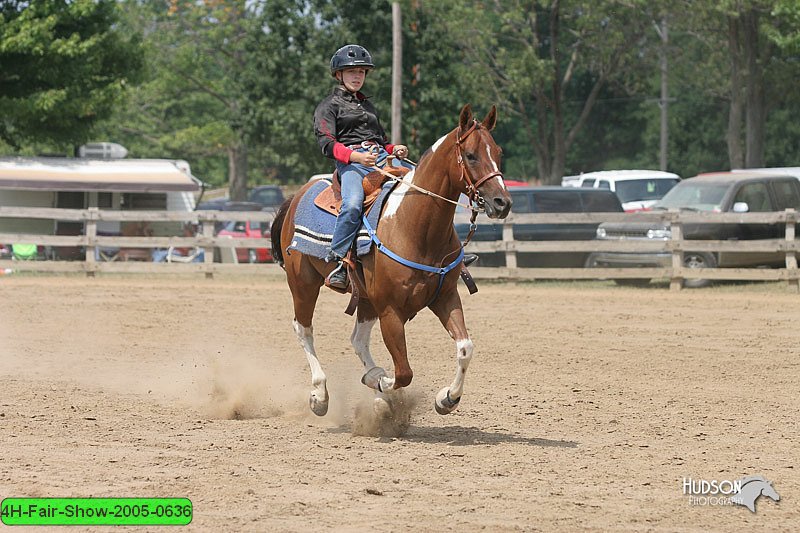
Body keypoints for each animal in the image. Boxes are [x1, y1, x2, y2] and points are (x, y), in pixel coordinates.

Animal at [270, 104, 512, 418]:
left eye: (498, 152)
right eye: (471, 155)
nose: (502, 203)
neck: (415, 226)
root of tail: (295, 197)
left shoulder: (445, 297)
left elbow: (465, 348)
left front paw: (446, 398)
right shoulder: (390, 310)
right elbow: (403, 372)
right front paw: (378, 381)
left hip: (364, 298)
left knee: (358, 340)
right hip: (303, 283)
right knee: (304, 329)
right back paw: (320, 395)